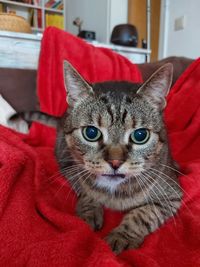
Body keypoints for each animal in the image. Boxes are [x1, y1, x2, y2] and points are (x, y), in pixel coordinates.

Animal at [9, 61, 183, 255]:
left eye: (140, 135)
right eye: (91, 133)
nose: (115, 162)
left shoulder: (172, 196)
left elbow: (143, 214)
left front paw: (121, 236)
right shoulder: (68, 164)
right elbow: (86, 190)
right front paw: (90, 211)